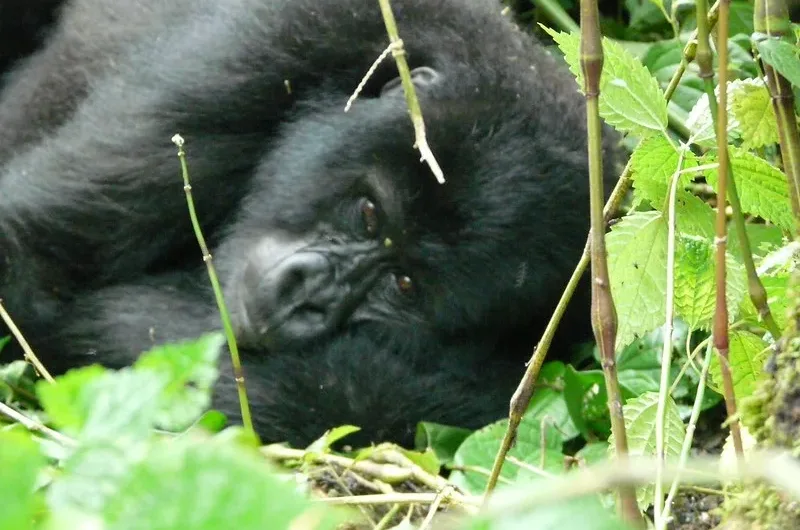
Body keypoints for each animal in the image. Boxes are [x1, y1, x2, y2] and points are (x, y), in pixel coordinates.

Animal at [0, 0, 620, 446]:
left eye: (404, 285)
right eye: (369, 214)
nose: (304, 296)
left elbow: (360, 399)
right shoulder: (283, 38)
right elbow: (30, 257)